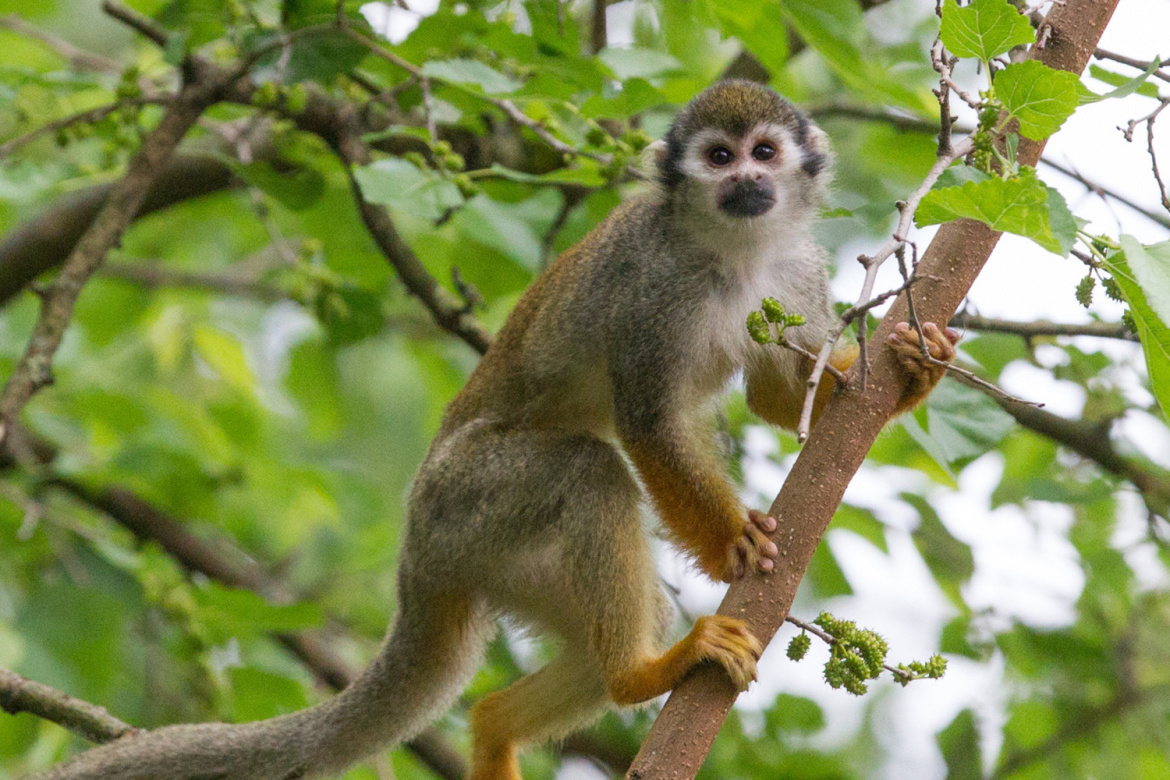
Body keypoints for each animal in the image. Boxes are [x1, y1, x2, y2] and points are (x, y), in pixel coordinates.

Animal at [43, 79, 959, 780]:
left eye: (764, 154)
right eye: (717, 158)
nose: (746, 185)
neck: (734, 246)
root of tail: (418, 564)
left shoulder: (795, 268)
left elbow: (779, 398)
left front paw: (909, 365)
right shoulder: (652, 285)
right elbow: (646, 421)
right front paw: (734, 542)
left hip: (500, 561)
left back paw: (506, 720)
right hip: (467, 503)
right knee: (589, 471)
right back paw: (641, 675)